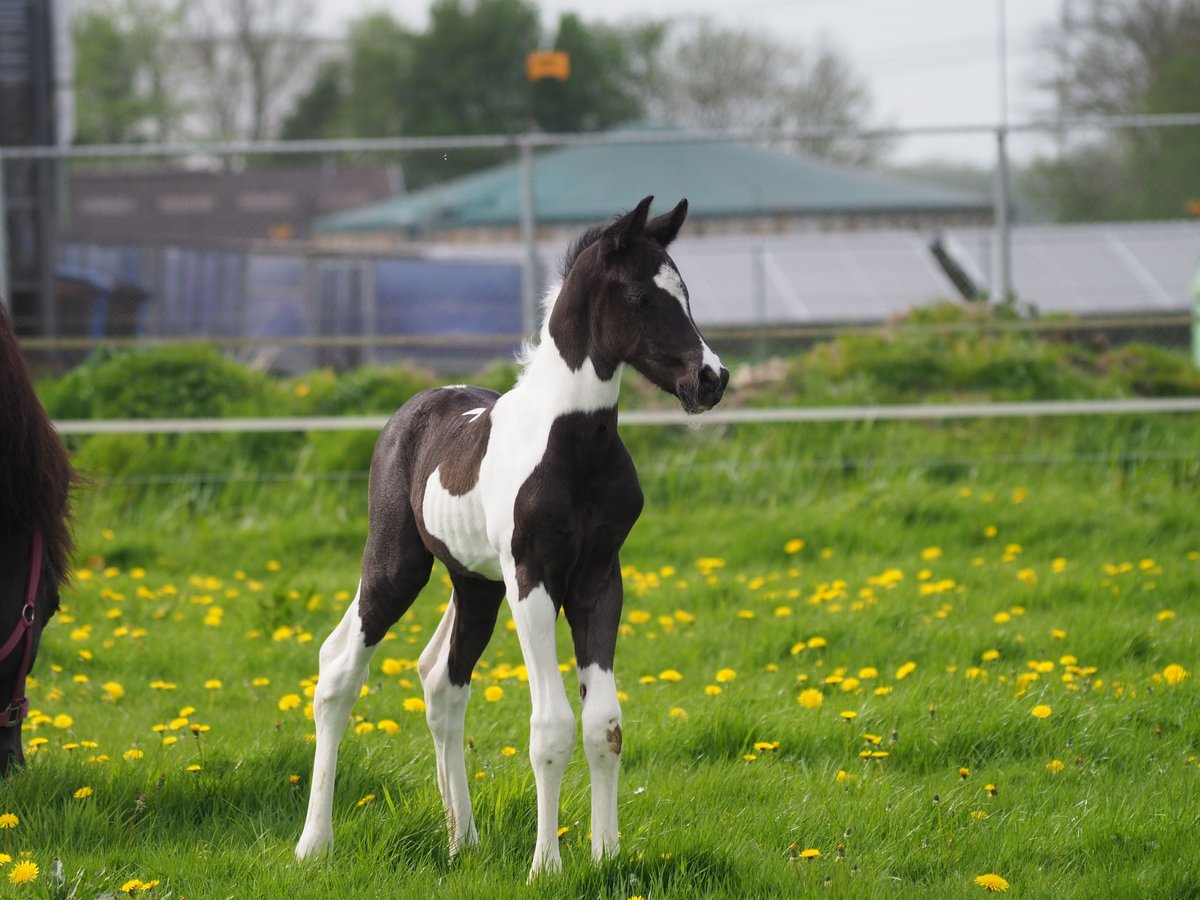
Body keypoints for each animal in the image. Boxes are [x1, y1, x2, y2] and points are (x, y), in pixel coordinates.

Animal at [297, 196, 729, 883]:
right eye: (640, 295)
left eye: (684, 291)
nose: (710, 379)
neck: (574, 445)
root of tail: (415, 408)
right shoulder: (533, 579)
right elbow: (550, 726)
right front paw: (546, 866)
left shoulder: (600, 578)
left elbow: (604, 723)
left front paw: (606, 856)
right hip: (396, 565)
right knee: (339, 665)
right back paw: (315, 844)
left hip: (474, 585)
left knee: (441, 680)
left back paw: (462, 840)